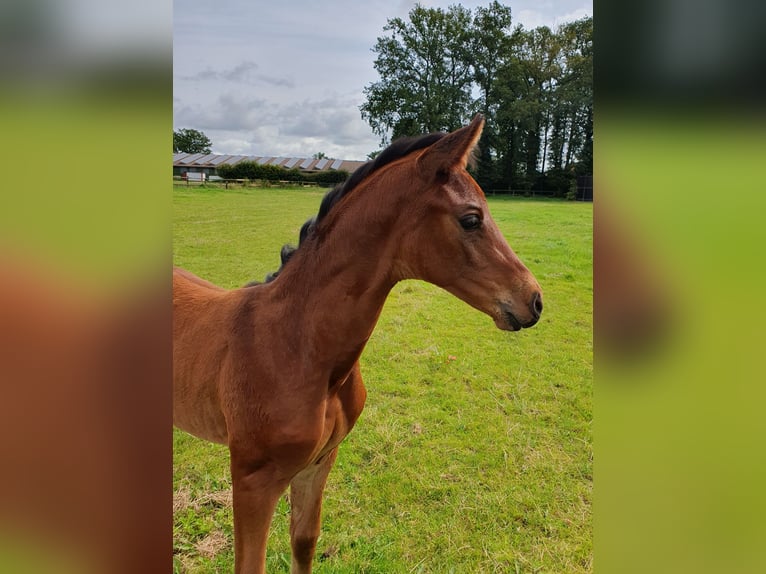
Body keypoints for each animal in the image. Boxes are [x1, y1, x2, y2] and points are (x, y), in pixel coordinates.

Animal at [174, 115, 544, 572]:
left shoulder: (319, 461)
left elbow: (304, 542)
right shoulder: (251, 479)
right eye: (471, 219)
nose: (534, 300)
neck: (298, 347)